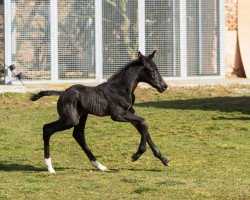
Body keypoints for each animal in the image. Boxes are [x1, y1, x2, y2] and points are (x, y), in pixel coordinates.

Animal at [30, 50, 169, 173]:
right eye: (150, 70)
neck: (121, 89)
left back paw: (100, 166)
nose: (164, 86)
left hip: (81, 116)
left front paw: (163, 159)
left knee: (78, 135)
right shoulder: (118, 115)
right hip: (70, 119)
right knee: (47, 129)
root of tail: (62, 93)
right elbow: (144, 122)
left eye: (157, 69)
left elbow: (143, 128)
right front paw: (137, 155)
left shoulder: (130, 113)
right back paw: (50, 167)